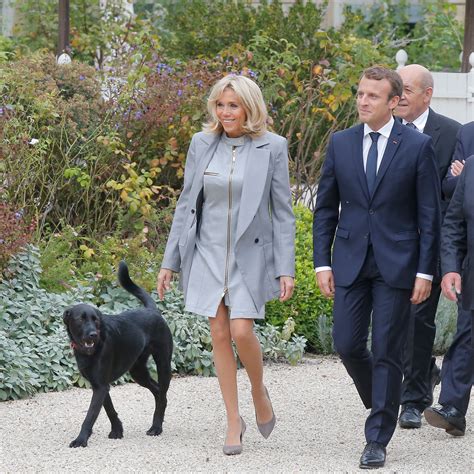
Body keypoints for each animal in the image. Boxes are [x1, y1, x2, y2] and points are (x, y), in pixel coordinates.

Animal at [64, 262, 172, 448]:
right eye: (80, 319)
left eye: (96, 320)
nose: (93, 334)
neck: (91, 351)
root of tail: (153, 311)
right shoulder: (99, 384)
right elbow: (109, 409)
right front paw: (117, 430)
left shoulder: (100, 386)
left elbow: (90, 416)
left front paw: (81, 439)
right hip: (138, 372)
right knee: (158, 391)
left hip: (164, 364)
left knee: (163, 395)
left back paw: (156, 427)